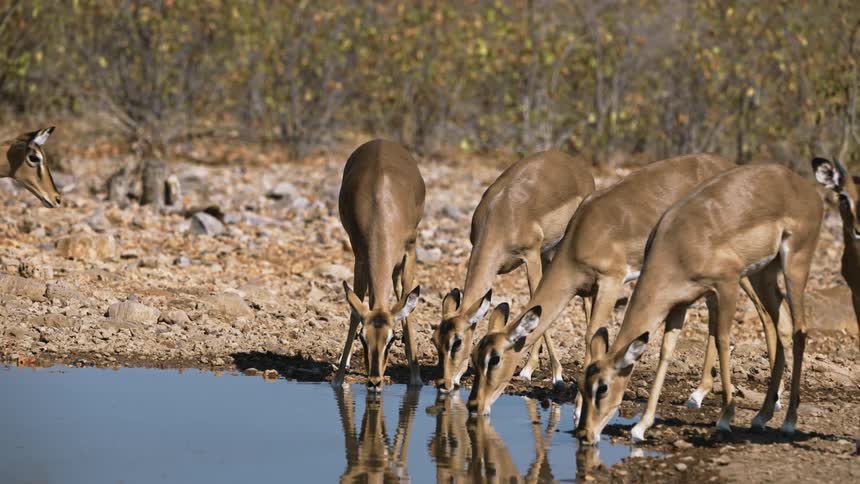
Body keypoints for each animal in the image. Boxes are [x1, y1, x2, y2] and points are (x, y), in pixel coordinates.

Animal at [333, 139, 425, 391]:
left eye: (391, 339)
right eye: (362, 338)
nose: (374, 381)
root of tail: (381, 141)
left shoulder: (410, 251)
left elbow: (407, 304)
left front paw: (416, 378)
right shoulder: (360, 257)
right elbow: (355, 310)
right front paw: (338, 379)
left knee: (401, 292)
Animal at [432, 149, 595, 393]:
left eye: (457, 342)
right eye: (435, 340)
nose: (445, 383)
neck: (501, 215)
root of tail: (578, 166)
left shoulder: (531, 257)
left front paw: (555, 375)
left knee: (585, 302)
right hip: (550, 254)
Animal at [466, 154, 785, 417]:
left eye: (495, 359)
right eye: (476, 354)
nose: (473, 404)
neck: (583, 235)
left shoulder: (610, 281)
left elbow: (590, 334)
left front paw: (578, 405)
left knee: (765, 313)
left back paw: (774, 400)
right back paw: (700, 395)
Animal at [575, 163, 822, 444]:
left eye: (602, 387)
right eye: (581, 382)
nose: (585, 434)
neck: (677, 246)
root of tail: (805, 188)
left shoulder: (726, 285)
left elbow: (723, 341)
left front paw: (725, 418)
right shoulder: (679, 304)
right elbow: (665, 352)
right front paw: (641, 426)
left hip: (793, 268)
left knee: (800, 330)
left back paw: (789, 422)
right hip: (765, 275)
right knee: (783, 326)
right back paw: (762, 416)